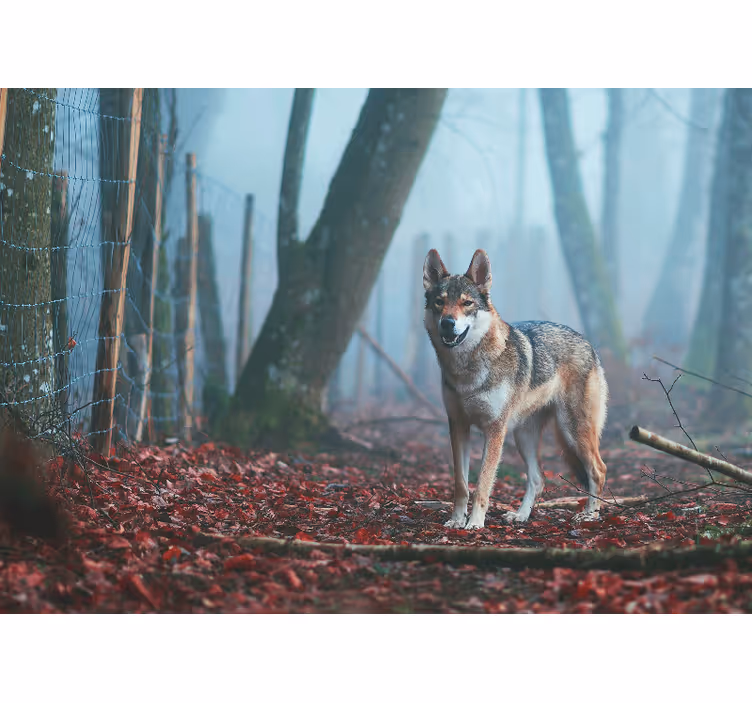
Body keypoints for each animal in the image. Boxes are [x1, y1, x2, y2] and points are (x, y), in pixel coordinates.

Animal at [423, 248, 608, 530]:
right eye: (439, 302)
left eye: (467, 303)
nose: (447, 323)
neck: (467, 370)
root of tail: (587, 343)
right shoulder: (458, 426)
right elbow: (461, 484)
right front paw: (456, 520)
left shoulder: (494, 430)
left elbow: (483, 484)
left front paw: (474, 524)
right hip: (525, 437)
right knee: (538, 478)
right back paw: (521, 516)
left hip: (573, 431)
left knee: (598, 470)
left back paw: (589, 515)